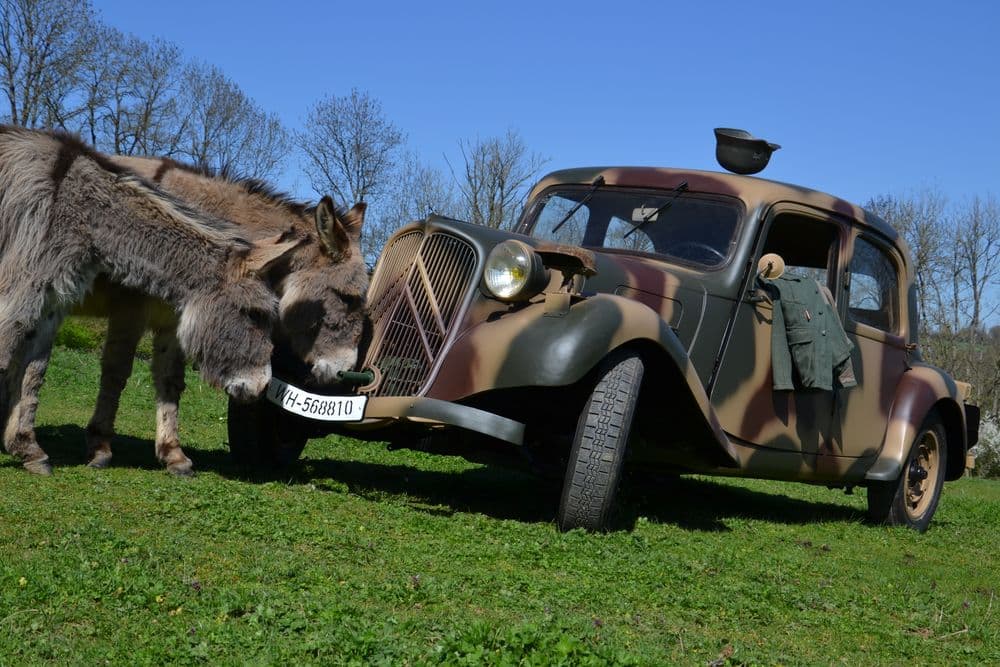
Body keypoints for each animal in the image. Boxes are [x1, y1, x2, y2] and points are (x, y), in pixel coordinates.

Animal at [0, 125, 304, 475]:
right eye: (254, 314)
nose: (263, 386)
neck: (84, 209)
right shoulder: (20, 291)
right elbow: (8, 358)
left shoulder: (51, 301)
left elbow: (34, 371)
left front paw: (27, 448)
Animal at [78, 155, 369, 474]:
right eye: (347, 297)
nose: (345, 369)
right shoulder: (129, 309)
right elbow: (116, 372)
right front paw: (100, 447)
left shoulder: (174, 320)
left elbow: (170, 380)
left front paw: (173, 454)